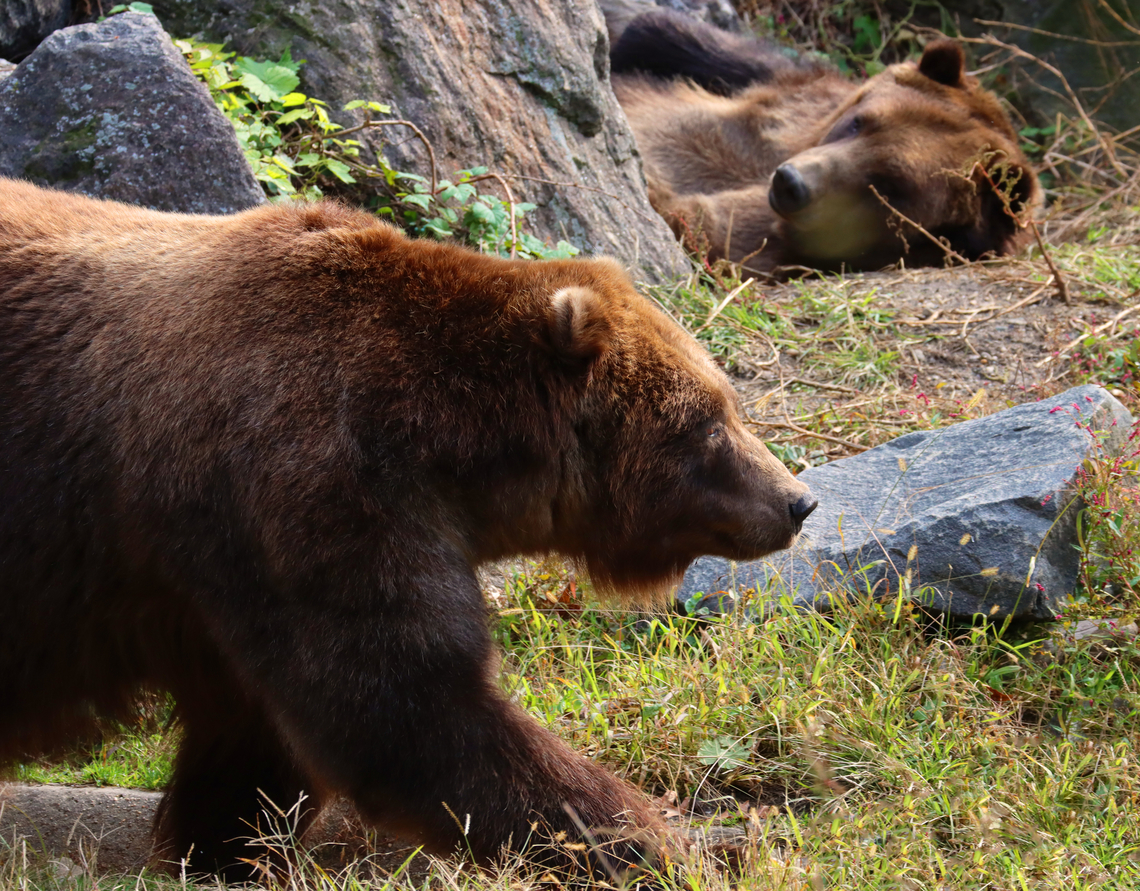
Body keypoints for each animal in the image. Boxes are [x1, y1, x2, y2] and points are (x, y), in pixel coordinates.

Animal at [0, 177, 816, 879]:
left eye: (727, 402)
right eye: (708, 421)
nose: (796, 502)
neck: (446, 445)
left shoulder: (232, 572)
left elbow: (259, 739)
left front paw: (228, 849)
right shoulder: (308, 489)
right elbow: (407, 709)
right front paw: (675, 841)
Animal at [610, 10, 1040, 275]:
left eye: (889, 185)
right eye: (857, 123)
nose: (791, 182)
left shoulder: (765, 243)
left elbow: (693, 220)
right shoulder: (794, 90)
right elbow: (659, 32)